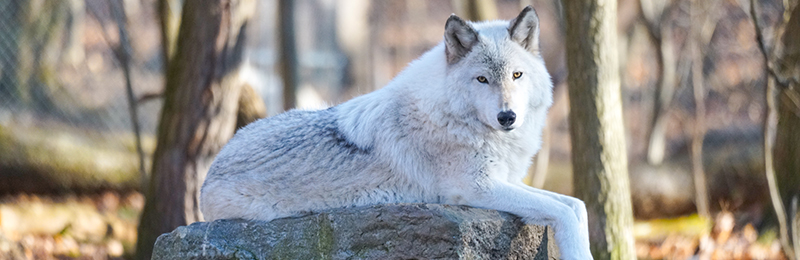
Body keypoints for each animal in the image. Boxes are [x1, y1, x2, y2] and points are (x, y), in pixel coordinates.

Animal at [200, 6, 592, 260]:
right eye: (482, 79)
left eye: (516, 75)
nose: (507, 117)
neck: (455, 116)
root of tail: (210, 170)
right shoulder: (474, 188)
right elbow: (563, 212)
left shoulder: (508, 180)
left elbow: (577, 205)